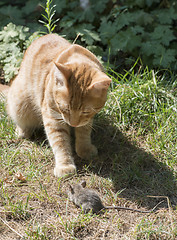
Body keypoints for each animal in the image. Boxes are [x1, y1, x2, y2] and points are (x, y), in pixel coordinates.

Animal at [1, 33, 110, 176]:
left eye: (85, 111)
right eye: (65, 108)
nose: (73, 123)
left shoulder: (87, 119)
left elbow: (84, 132)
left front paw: (84, 148)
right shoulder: (52, 117)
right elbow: (60, 142)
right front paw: (65, 165)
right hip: (19, 105)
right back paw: (23, 131)